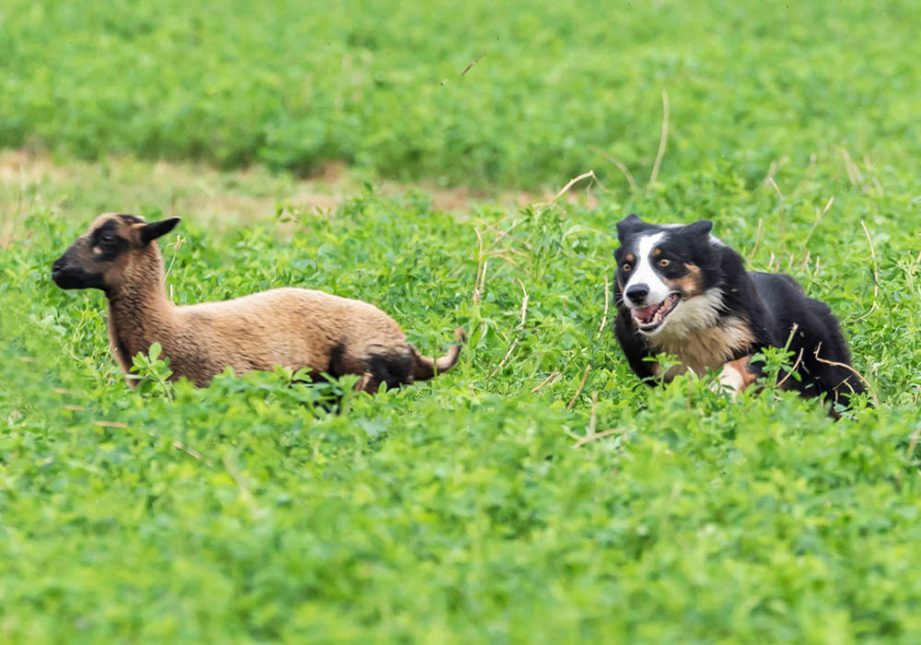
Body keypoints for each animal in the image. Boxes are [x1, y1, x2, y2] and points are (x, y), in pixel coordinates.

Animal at [612, 213, 864, 408]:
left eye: (664, 262)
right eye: (627, 266)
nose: (635, 293)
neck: (692, 326)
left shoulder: (758, 339)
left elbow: (741, 363)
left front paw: (720, 390)